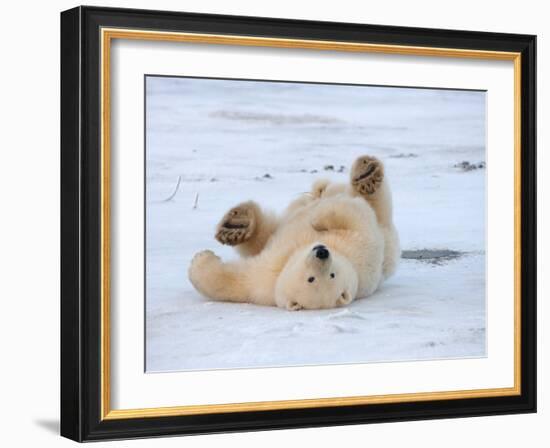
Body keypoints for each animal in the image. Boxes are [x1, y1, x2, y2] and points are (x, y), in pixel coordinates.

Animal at [190, 156, 402, 310]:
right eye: (311, 278)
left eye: (331, 275)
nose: (322, 252)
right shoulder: (266, 278)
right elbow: (236, 282)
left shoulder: (362, 249)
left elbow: (354, 216)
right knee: (267, 231)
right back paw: (236, 225)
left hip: (386, 233)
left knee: (375, 204)